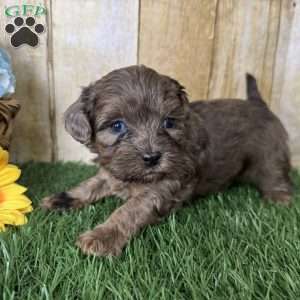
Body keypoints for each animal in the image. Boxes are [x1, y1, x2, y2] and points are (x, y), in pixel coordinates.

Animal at [41, 67, 292, 256]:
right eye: (117, 126)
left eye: (168, 123)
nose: (152, 158)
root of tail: (258, 104)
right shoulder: (111, 173)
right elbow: (90, 185)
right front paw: (63, 199)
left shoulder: (163, 186)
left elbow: (128, 210)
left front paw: (103, 236)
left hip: (269, 153)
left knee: (274, 173)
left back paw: (278, 198)